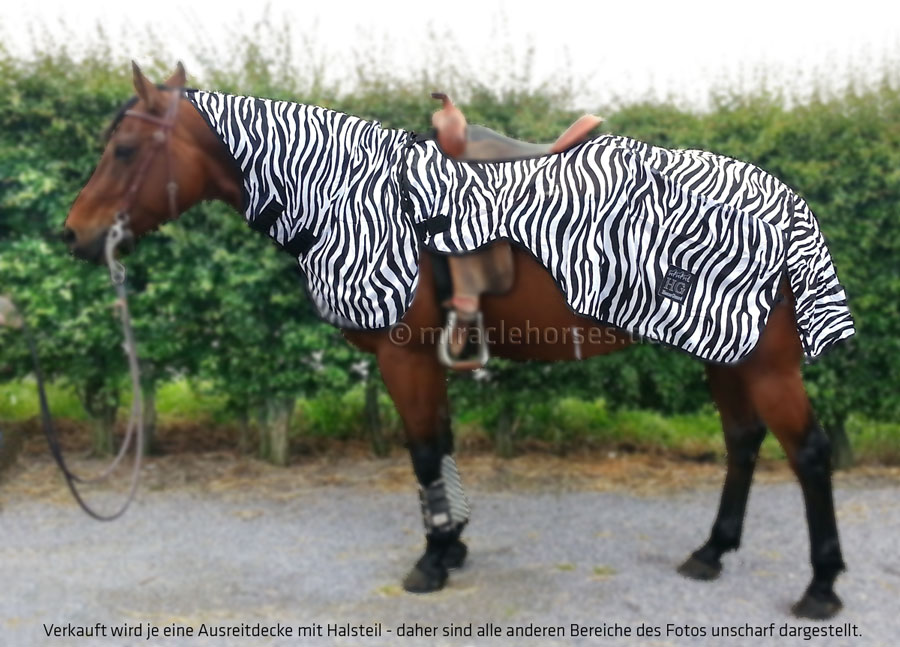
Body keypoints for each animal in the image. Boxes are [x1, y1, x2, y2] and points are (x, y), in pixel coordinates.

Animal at [62, 62, 848, 619]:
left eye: (124, 149)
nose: (74, 234)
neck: (357, 196)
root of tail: (786, 204)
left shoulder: (404, 357)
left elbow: (423, 453)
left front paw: (433, 559)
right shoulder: (425, 361)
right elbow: (440, 446)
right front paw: (456, 543)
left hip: (766, 363)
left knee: (808, 453)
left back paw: (821, 585)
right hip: (726, 354)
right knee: (743, 441)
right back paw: (712, 551)